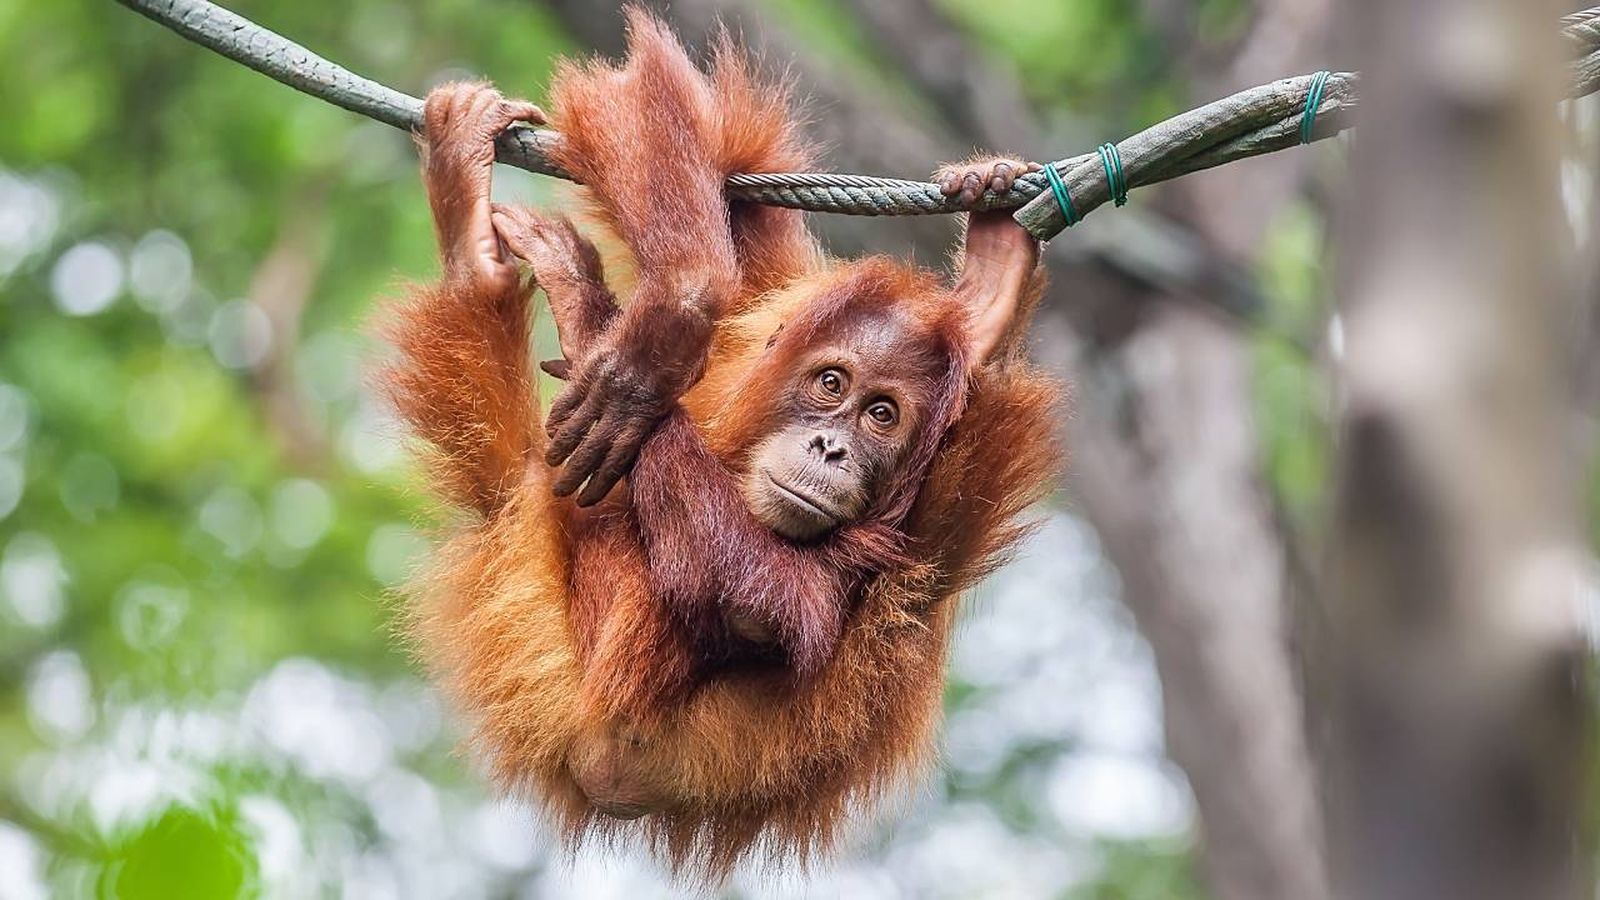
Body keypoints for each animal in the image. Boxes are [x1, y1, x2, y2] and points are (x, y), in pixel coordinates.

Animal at [381, 9, 1062, 877]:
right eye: (832, 385)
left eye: (882, 416)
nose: (832, 451)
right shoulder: (778, 301)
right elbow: (673, 132)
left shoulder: (914, 527)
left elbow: (766, 602)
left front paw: (613, 333)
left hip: (551, 651)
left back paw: (493, 269)